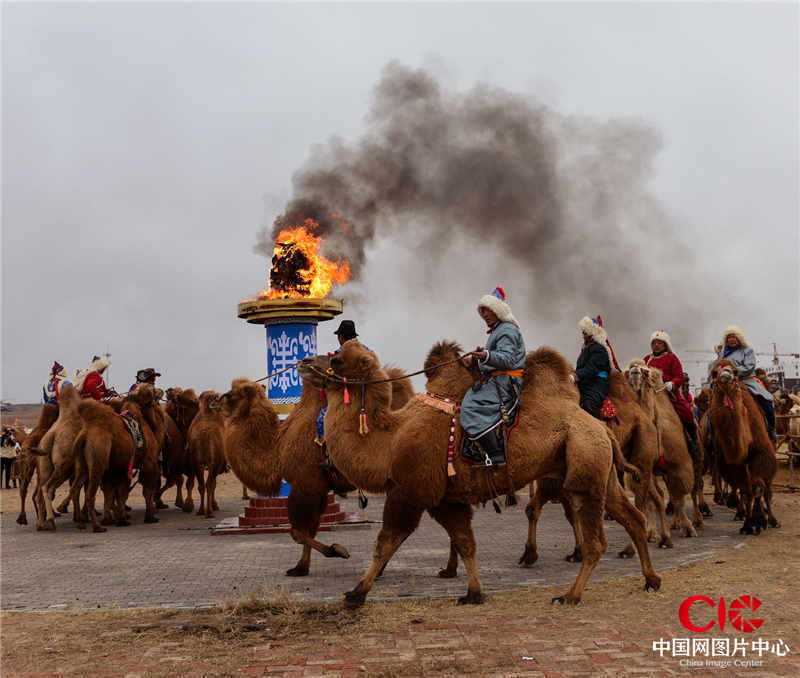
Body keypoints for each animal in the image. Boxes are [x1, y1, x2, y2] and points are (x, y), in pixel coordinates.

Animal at [72, 386, 165, 532]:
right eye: (152, 391)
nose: (161, 390)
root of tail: (86, 433)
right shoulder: (148, 461)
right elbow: (147, 489)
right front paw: (150, 518)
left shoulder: (120, 466)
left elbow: (117, 492)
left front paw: (118, 520)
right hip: (99, 459)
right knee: (89, 493)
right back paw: (97, 527)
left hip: (82, 464)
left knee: (75, 489)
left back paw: (80, 523)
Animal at [222, 370, 416, 576]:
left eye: (235, 394)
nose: (217, 400)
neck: (278, 448)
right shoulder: (319, 487)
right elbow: (311, 528)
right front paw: (300, 567)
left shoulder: (306, 482)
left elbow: (298, 532)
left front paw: (337, 550)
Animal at [296, 342, 660, 608]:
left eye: (337, 359)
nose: (304, 361)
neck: (390, 441)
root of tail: (600, 427)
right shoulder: (446, 500)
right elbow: (466, 542)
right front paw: (473, 592)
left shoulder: (410, 492)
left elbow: (385, 543)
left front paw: (356, 592)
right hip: (602, 472)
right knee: (632, 516)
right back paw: (651, 579)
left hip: (585, 470)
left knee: (597, 540)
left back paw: (570, 595)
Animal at [624, 362, 700, 536]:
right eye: (628, 371)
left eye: (644, 371)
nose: (635, 371)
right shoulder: (644, 469)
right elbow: (650, 501)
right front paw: (651, 531)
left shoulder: (679, 465)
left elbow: (679, 498)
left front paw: (688, 528)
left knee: (693, 490)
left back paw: (696, 520)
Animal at [708, 362, 780, 536]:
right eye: (715, 372)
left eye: (735, 371)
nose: (725, 375)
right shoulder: (732, 464)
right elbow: (746, 491)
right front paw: (748, 524)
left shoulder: (762, 453)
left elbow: (759, 488)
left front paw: (760, 520)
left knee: (766, 489)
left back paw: (773, 520)